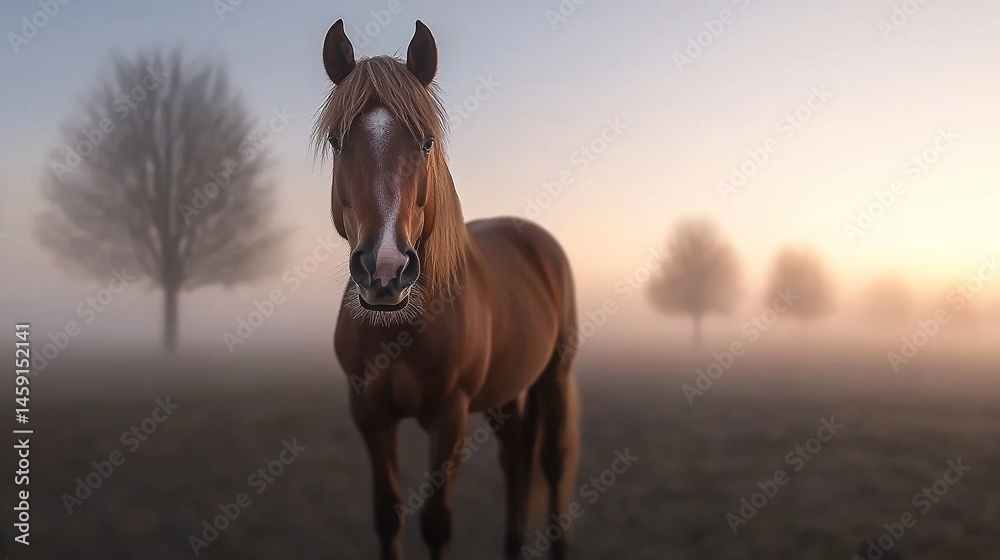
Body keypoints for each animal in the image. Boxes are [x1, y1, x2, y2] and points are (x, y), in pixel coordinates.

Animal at [314, 19, 580, 560]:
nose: (385, 270)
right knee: (517, 459)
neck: (399, 327)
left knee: (553, 462)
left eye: (426, 143)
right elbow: (387, 514)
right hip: (506, 392)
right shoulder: (369, 414)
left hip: (555, 375)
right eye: (337, 140)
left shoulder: (450, 417)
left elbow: (436, 522)